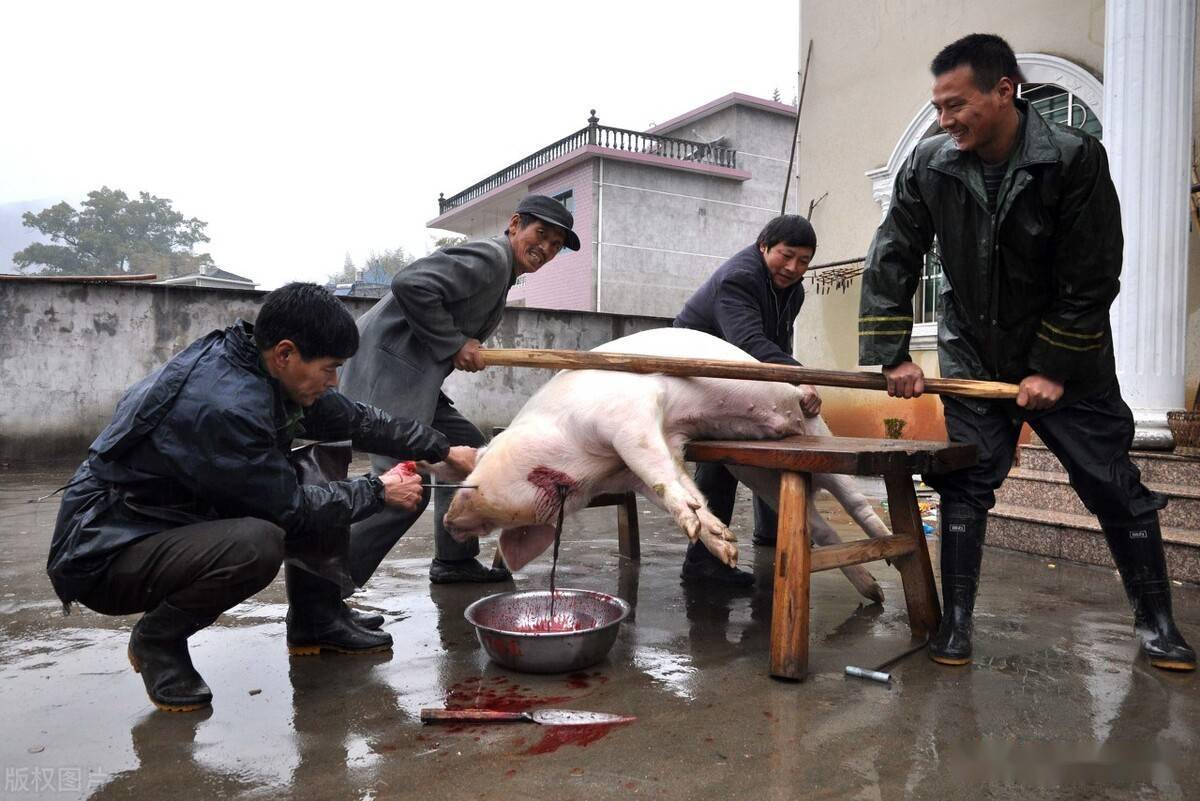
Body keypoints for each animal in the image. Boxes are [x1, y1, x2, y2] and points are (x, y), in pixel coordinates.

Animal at [446, 326, 897, 599]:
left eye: (475, 481)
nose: (451, 520)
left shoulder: (628, 416)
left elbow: (657, 470)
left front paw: (719, 543)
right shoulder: (645, 461)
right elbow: (675, 484)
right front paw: (723, 546)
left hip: (819, 430)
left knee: (853, 499)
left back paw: (886, 556)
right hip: (754, 471)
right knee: (816, 526)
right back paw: (872, 591)